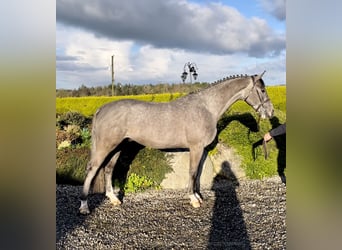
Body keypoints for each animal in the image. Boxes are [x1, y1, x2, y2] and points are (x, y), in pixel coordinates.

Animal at [79, 71, 274, 214]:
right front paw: (194, 199)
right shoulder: (195, 148)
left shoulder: (200, 150)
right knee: (92, 169)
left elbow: (198, 173)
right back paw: (84, 206)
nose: (270, 112)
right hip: (106, 146)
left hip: (118, 146)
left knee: (108, 169)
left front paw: (198, 196)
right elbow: (193, 172)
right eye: (262, 90)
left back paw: (113, 199)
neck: (206, 108)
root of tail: (102, 108)